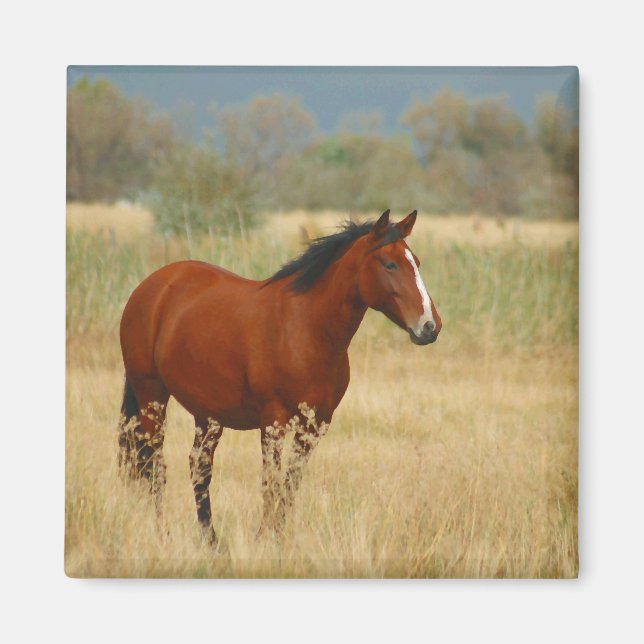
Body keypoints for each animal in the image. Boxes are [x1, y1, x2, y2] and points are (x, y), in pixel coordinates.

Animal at [118, 209, 442, 544]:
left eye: (416, 262)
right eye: (390, 264)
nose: (430, 326)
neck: (306, 329)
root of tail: (152, 286)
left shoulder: (314, 426)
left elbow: (290, 485)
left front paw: (277, 538)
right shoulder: (273, 422)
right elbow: (271, 483)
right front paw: (264, 539)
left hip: (208, 415)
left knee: (198, 467)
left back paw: (211, 541)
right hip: (152, 397)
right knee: (153, 466)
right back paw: (162, 533)